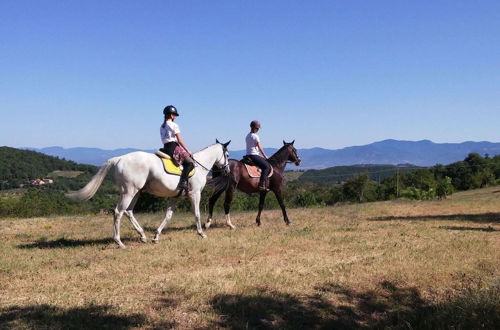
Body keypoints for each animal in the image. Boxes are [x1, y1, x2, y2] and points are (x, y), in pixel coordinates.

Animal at [66, 141, 230, 249]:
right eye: (227, 155)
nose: (227, 170)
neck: (199, 166)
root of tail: (118, 159)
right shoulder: (195, 194)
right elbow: (196, 214)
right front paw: (201, 233)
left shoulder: (175, 197)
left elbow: (168, 216)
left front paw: (156, 236)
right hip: (129, 191)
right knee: (118, 212)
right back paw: (119, 242)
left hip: (135, 192)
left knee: (128, 211)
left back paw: (142, 236)